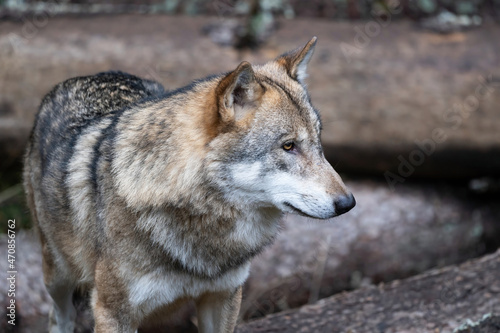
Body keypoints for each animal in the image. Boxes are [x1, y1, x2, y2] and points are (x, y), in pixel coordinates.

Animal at [24, 37, 356, 330]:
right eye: (288, 146)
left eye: (318, 142)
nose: (348, 203)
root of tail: (90, 75)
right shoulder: (112, 312)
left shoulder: (223, 297)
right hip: (56, 275)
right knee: (58, 315)